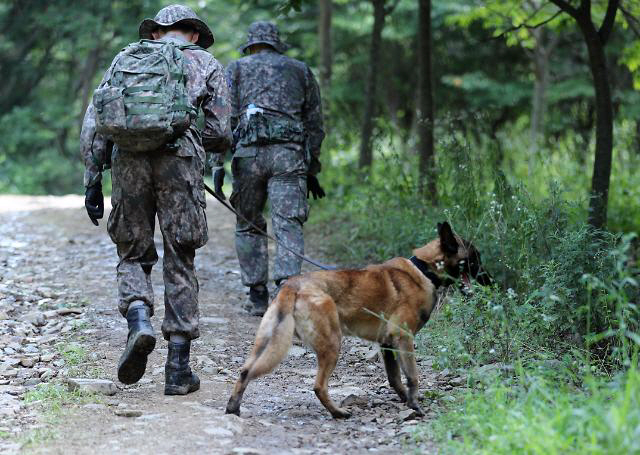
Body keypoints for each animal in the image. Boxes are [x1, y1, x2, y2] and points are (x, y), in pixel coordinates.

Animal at [225, 223, 490, 418]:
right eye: (475, 258)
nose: (490, 280)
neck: (423, 269)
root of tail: (293, 285)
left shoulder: (387, 344)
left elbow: (395, 378)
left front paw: (405, 400)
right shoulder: (403, 338)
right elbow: (413, 376)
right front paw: (414, 405)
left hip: (266, 342)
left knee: (245, 371)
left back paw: (233, 407)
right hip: (332, 344)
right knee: (318, 386)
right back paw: (338, 413)